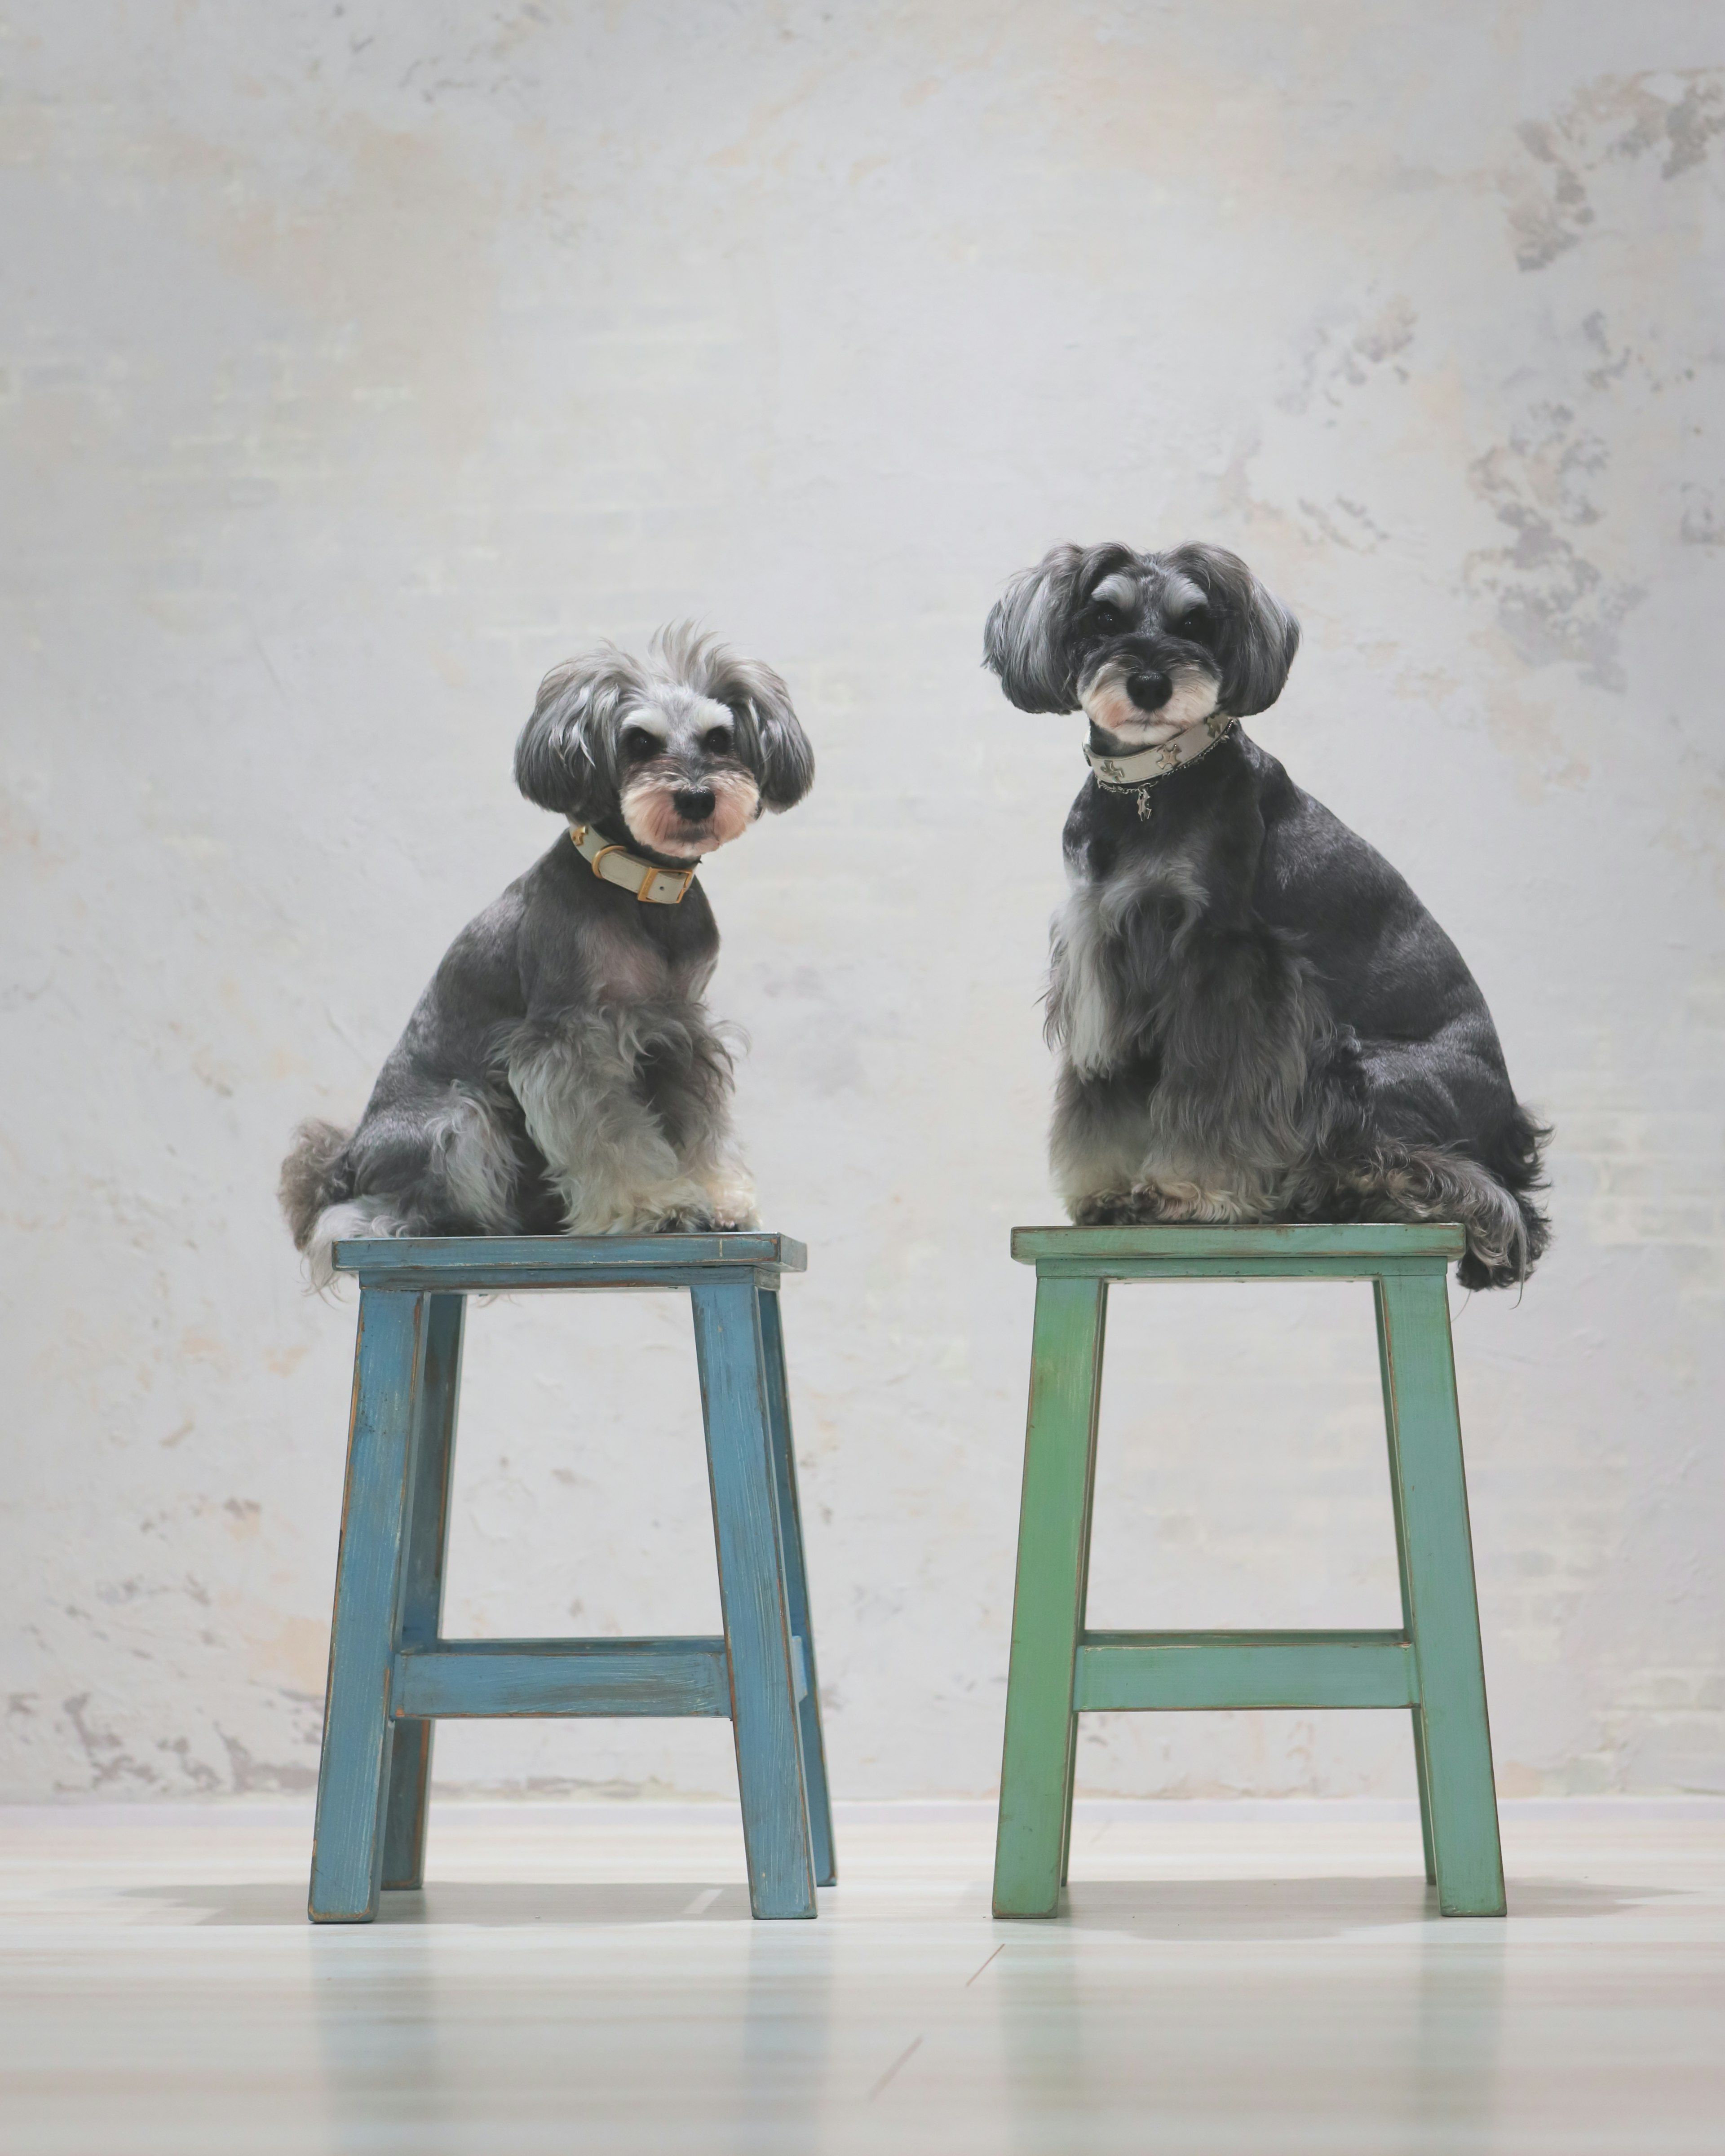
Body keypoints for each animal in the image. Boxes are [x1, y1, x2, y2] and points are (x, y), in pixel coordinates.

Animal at [280, 629, 815, 1285]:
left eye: (720, 738)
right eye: (639, 742)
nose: (695, 798)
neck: (641, 888)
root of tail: (347, 1160)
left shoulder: (681, 1035)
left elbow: (698, 1125)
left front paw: (719, 1199)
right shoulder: (569, 1042)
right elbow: (610, 1132)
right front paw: (654, 1205)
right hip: (458, 1120)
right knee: (366, 1214)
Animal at [983, 539, 1552, 1285]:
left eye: (1195, 623)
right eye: (1104, 617)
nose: (1150, 685)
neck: (1150, 788)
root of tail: (1510, 1125)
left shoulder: (1225, 967)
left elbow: (1210, 1092)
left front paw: (1185, 1193)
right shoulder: (1102, 958)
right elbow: (1105, 1093)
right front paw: (1105, 1191)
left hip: (1357, 1066)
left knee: (1475, 1193)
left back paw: (1345, 1191)